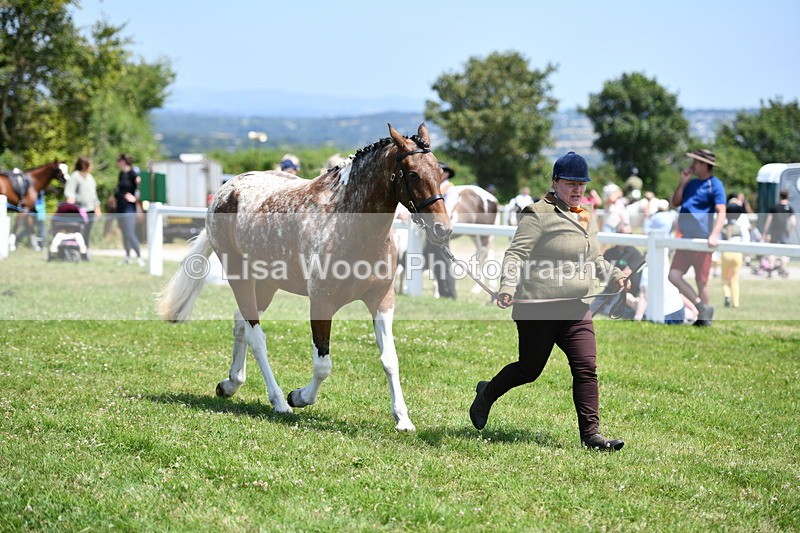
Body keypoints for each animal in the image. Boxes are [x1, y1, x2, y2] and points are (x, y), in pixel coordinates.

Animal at [156, 124, 451, 431]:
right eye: (413, 173)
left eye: (438, 171)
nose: (443, 229)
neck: (349, 224)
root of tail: (227, 190)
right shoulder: (321, 302)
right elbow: (323, 365)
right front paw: (298, 396)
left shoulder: (381, 299)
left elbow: (390, 359)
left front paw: (403, 419)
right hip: (241, 278)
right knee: (256, 336)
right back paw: (279, 401)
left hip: (266, 285)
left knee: (241, 324)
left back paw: (230, 384)